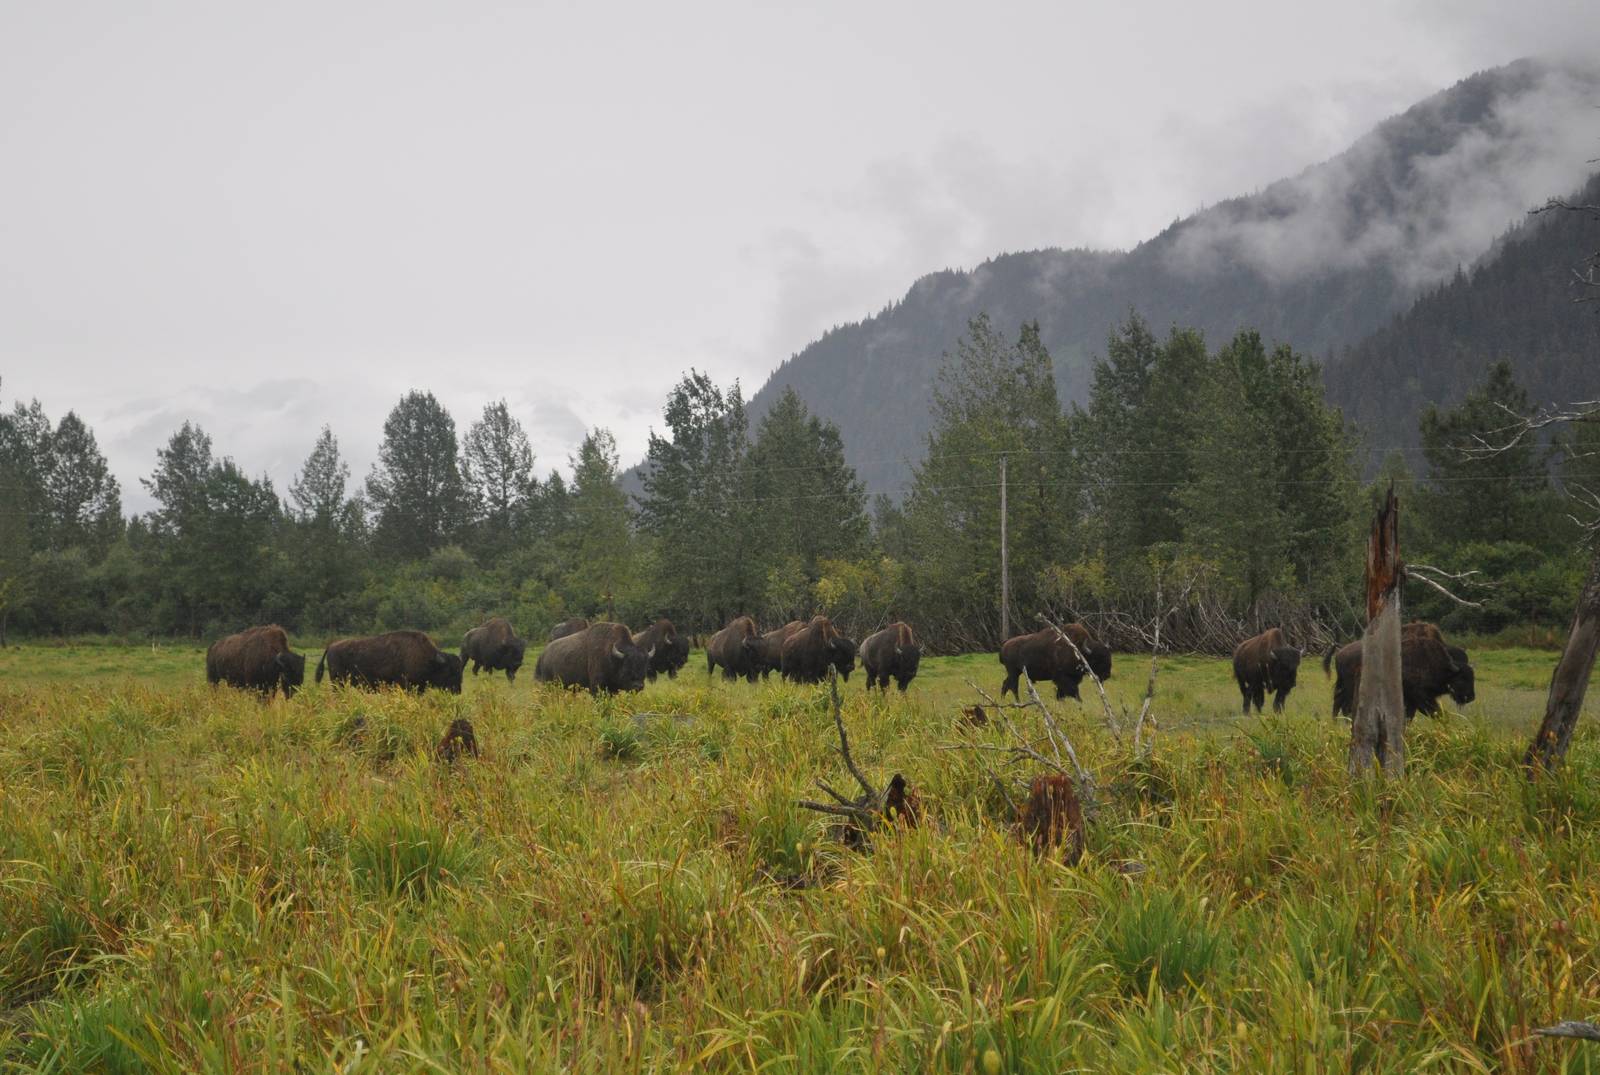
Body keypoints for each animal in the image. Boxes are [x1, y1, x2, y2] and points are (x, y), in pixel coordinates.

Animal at [1324, 621, 1476, 720]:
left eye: (1472, 677)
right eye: (1462, 678)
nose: (1470, 697)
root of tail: (1341, 652)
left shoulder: (1412, 699)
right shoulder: (1420, 696)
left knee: (1339, 703)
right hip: (1350, 687)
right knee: (1344, 705)